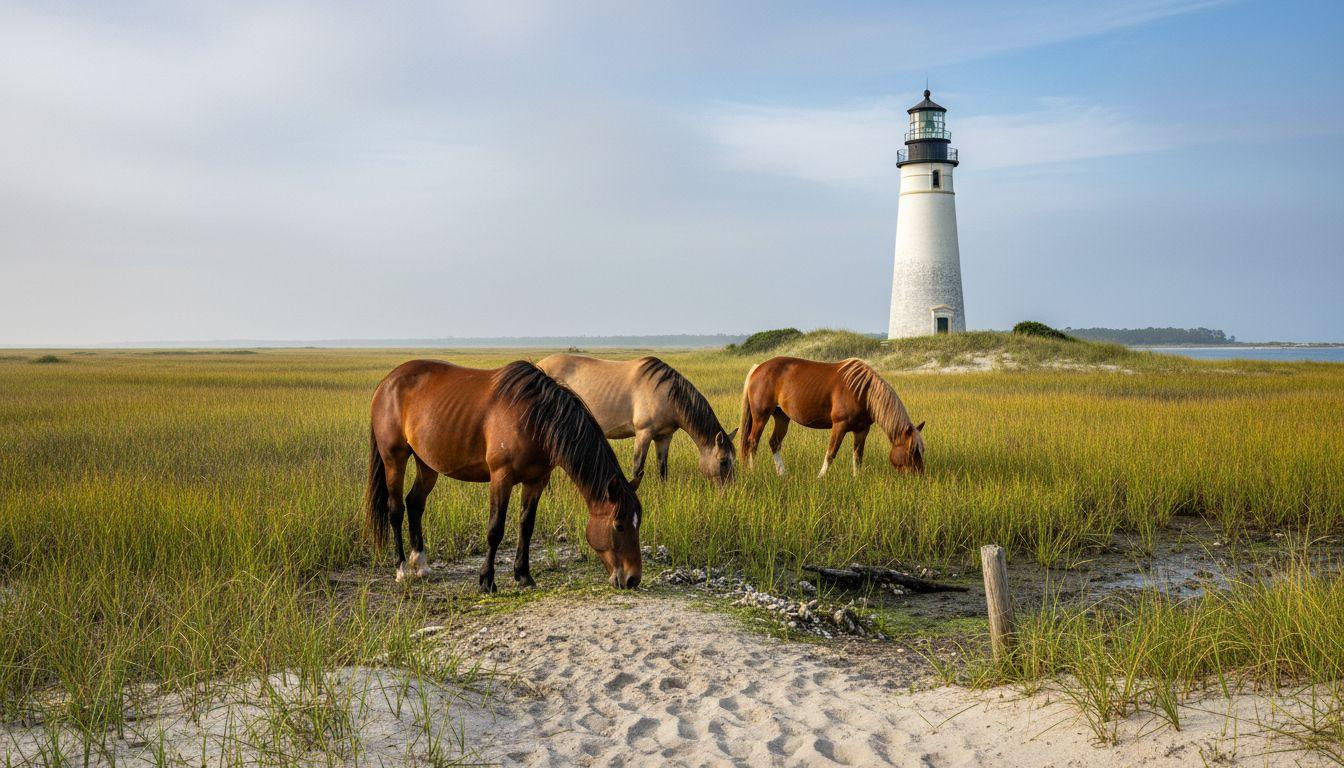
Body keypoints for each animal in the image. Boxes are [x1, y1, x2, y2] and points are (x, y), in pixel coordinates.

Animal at [363, 359, 642, 591]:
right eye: (619, 525)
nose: (632, 579)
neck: (534, 417)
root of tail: (387, 382)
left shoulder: (536, 480)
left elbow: (526, 526)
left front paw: (524, 575)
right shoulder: (501, 478)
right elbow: (495, 529)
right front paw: (487, 581)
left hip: (427, 463)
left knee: (415, 503)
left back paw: (420, 564)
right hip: (394, 459)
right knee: (396, 509)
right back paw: (401, 569)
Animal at [537, 354, 737, 488]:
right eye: (723, 461)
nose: (730, 492)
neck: (666, 393)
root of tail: (538, 365)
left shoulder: (664, 437)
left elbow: (663, 469)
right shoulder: (643, 434)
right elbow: (638, 469)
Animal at [739, 357, 925, 477]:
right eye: (912, 451)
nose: (920, 476)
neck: (862, 391)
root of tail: (758, 368)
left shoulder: (862, 430)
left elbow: (858, 456)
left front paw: (857, 479)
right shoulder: (839, 426)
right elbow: (831, 453)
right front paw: (821, 478)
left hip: (782, 417)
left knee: (774, 443)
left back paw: (782, 474)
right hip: (761, 416)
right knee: (752, 442)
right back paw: (753, 472)